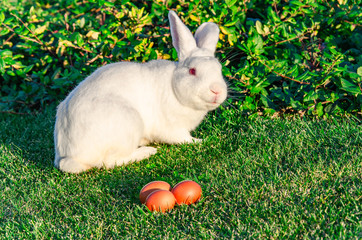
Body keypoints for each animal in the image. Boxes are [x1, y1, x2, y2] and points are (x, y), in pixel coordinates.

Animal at [54, 10, 226, 172]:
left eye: (219, 69)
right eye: (192, 71)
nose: (217, 90)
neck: (174, 88)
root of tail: (67, 155)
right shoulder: (173, 128)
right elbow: (184, 139)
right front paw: (202, 141)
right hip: (128, 124)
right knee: (110, 161)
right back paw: (146, 152)